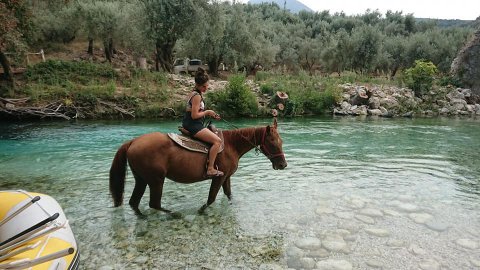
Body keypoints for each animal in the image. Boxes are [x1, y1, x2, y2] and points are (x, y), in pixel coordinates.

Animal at [109, 119, 286, 214]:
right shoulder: (219, 177)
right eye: (272, 142)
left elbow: (229, 195)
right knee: (154, 204)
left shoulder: (227, 177)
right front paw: (201, 210)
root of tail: (133, 142)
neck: (231, 145)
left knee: (134, 202)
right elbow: (211, 198)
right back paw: (174, 214)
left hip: (141, 179)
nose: (283, 164)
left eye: (281, 141)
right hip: (156, 180)